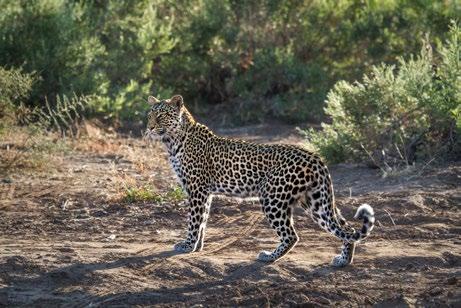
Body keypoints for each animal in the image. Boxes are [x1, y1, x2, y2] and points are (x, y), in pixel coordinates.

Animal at [145, 94, 374, 268]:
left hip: (272, 198)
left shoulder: (197, 189)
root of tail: (315, 157)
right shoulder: (205, 192)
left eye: (162, 116)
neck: (173, 141)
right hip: (315, 201)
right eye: (150, 115)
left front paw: (187, 245)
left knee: (291, 235)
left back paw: (268, 257)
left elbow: (194, 220)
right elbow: (203, 220)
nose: (149, 128)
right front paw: (197, 246)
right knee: (347, 229)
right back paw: (343, 261)